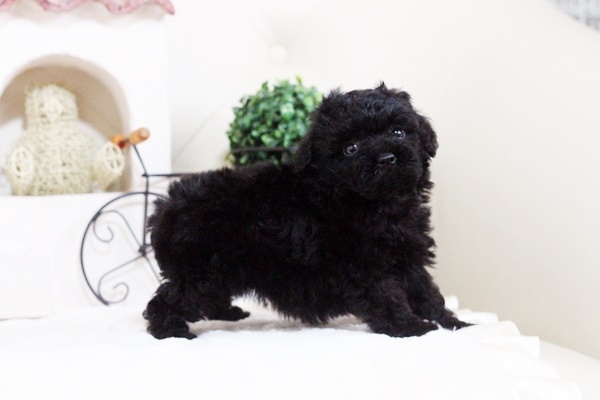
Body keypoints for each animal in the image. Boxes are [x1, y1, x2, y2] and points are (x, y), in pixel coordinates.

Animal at [143, 83, 470, 339]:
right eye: (350, 148)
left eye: (398, 131)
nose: (386, 158)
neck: (377, 204)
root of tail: (164, 207)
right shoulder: (364, 265)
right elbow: (387, 294)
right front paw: (409, 326)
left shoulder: (408, 254)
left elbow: (426, 290)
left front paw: (454, 323)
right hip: (199, 269)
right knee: (170, 299)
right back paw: (170, 331)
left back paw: (228, 312)